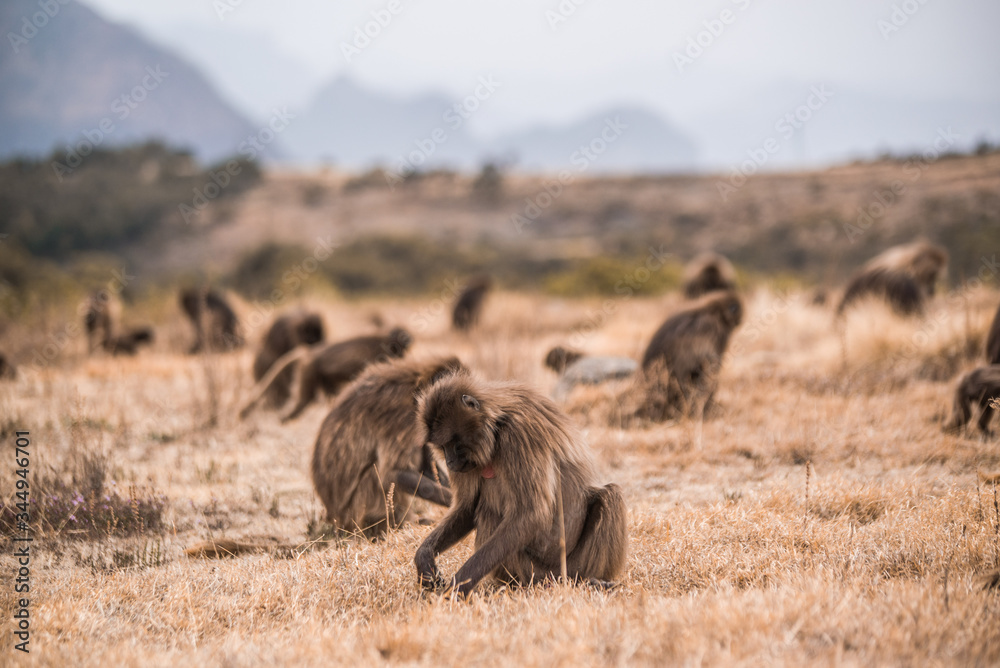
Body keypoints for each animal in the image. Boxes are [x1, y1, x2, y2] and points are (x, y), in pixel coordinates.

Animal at [240, 327, 413, 421]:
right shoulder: (378, 355)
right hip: (308, 369)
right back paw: (286, 418)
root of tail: (309, 353)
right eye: (402, 345)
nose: (404, 354)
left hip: (320, 374)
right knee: (304, 400)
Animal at [311, 356, 466, 537]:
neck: (415, 388)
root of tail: (335, 520)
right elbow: (392, 471)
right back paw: (398, 526)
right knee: (376, 474)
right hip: (356, 515)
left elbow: (426, 468)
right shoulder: (404, 417)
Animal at [414, 372, 628, 597]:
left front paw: (458, 586)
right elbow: (467, 508)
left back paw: (594, 581)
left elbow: (530, 513)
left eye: (455, 445)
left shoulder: (519, 435)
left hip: (560, 568)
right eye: (442, 446)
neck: (497, 427)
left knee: (611, 495)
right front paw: (425, 559)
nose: (449, 463)